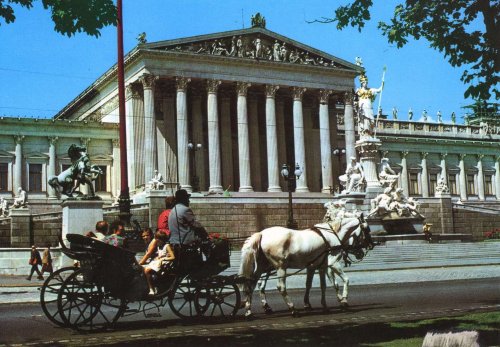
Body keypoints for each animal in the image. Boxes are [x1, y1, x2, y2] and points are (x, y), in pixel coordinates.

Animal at [238, 215, 372, 318]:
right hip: (280, 267)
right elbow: (344, 280)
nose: (370, 245)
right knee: (280, 287)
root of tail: (262, 233)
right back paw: (292, 309)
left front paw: (320, 305)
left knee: (251, 285)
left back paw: (249, 311)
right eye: (367, 229)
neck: (332, 235)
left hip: (262, 267)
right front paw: (343, 300)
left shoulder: (318, 267)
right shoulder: (332, 263)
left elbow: (319, 285)